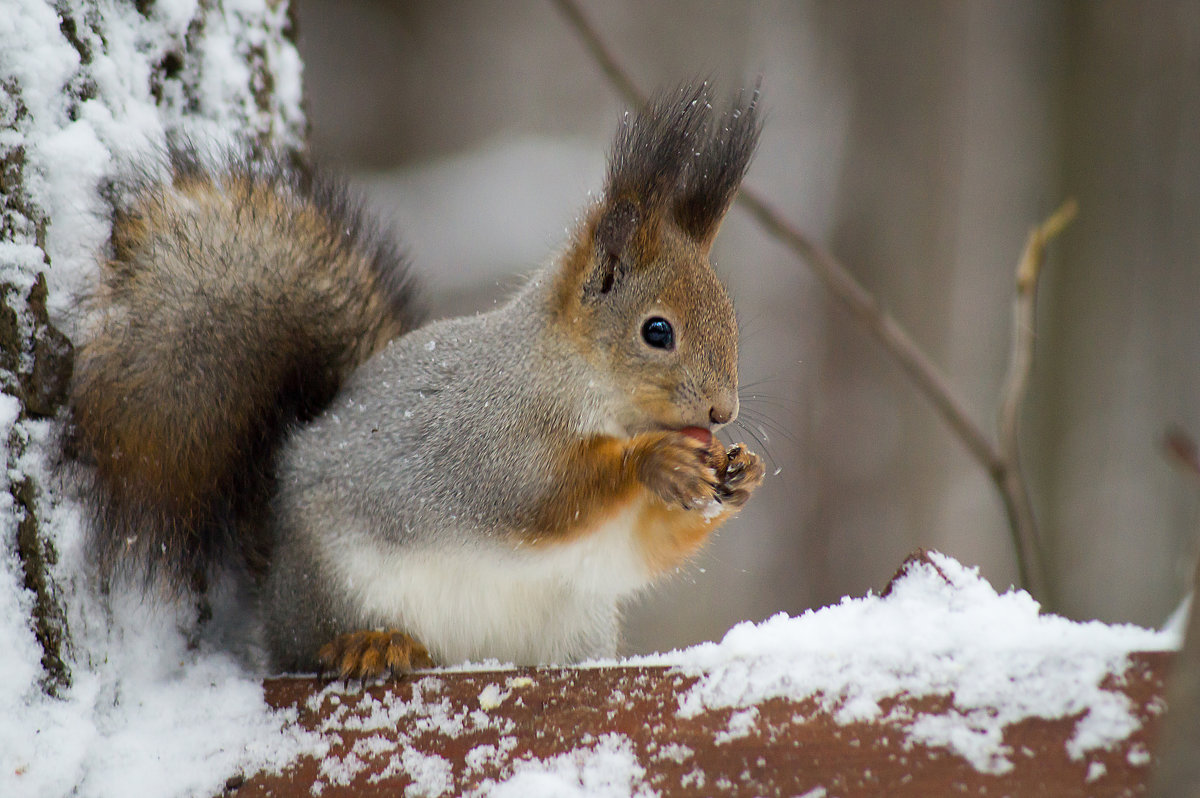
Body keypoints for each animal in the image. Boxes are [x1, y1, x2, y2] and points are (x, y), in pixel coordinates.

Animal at [70, 82, 768, 676]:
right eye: (657, 331)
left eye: (734, 318)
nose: (723, 412)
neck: (576, 384)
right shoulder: (494, 441)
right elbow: (545, 497)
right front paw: (654, 460)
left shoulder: (602, 551)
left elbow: (638, 551)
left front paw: (740, 474)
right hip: (336, 582)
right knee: (305, 647)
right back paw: (369, 643)